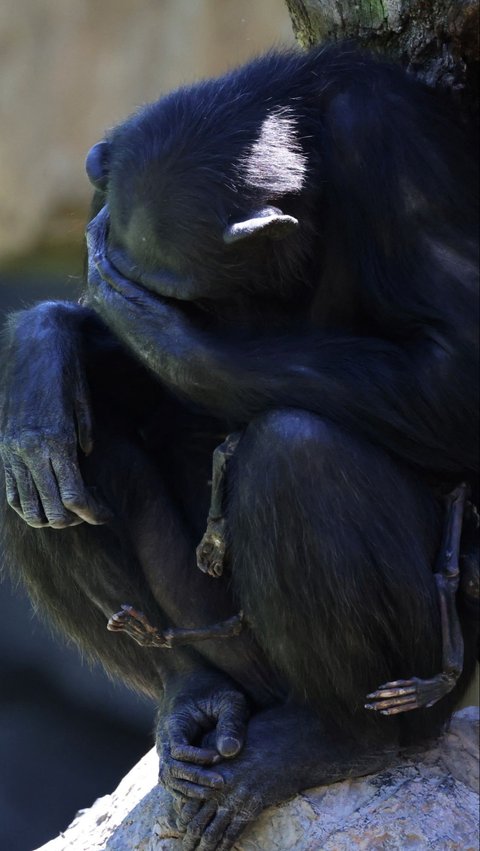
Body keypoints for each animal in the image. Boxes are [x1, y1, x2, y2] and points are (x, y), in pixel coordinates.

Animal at [0, 45, 478, 851]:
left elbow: (454, 366)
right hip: (226, 647)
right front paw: (42, 352)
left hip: (431, 676)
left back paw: (331, 739)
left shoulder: (397, 146)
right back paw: (190, 693)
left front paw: (149, 336)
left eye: (185, 300)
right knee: (37, 474)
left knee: (297, 454)